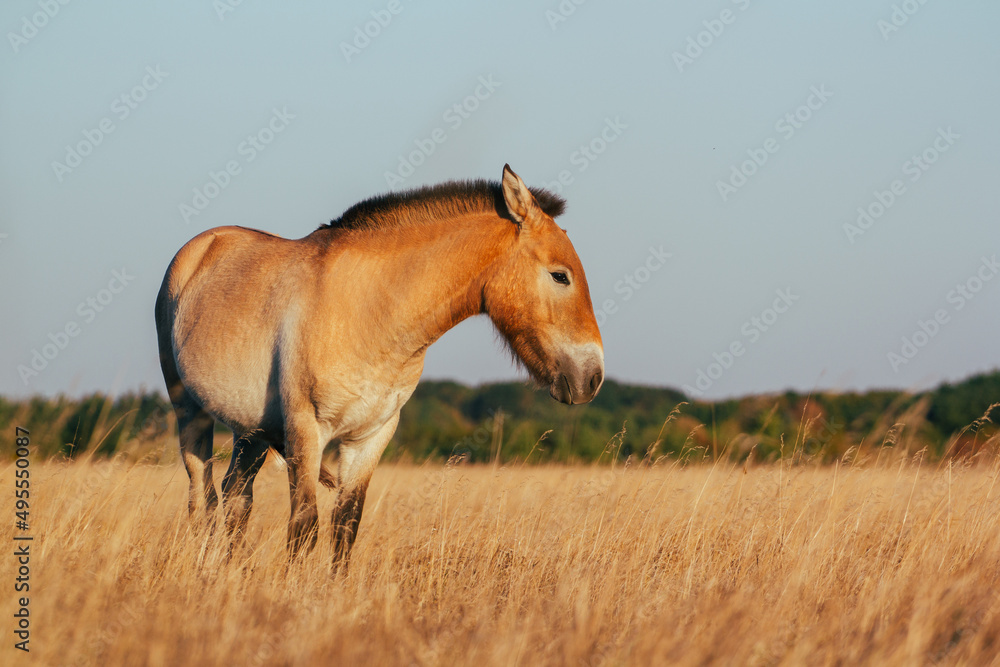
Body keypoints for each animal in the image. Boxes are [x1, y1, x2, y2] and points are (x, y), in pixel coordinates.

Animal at [155, 164, 604, 564]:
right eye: (560, 276)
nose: (592, 377)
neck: (372, 311)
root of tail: (200, 248)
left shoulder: (371, 437)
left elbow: (345, 528)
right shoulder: (305, 430)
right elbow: (304, 529)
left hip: (251, 431)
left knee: (235, 501)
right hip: (191, 413)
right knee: (203, 500)